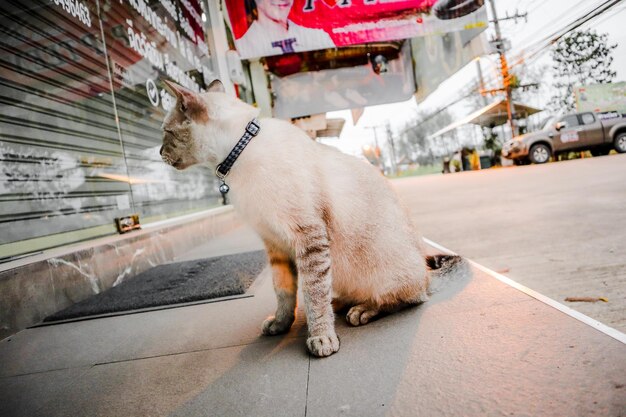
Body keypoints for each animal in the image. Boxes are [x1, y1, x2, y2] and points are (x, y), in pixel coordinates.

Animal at [158, 79, 466, 358]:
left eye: (166, 132)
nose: (159, 153)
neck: (238, 157)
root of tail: (426, 275)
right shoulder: (274, 243)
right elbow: (284, 291)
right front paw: (281, 324)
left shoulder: (308, 236)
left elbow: (312, 292)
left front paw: (321, 337)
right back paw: (340, 303)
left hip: (386, 271)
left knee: (406, 299)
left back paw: (363, 310)